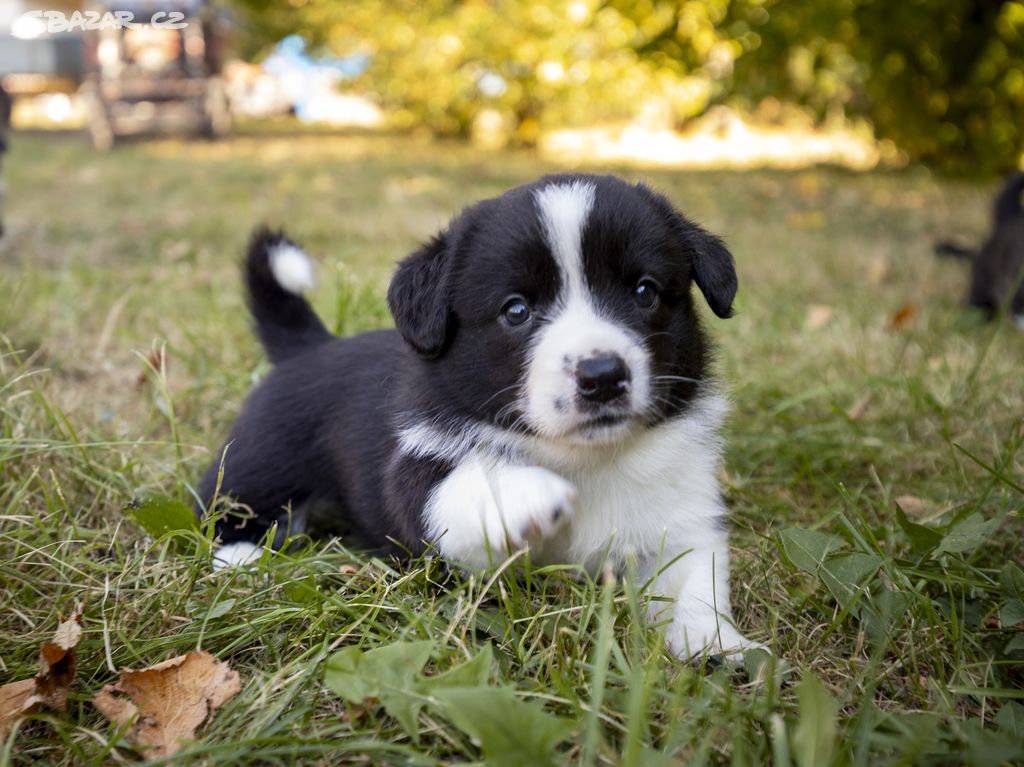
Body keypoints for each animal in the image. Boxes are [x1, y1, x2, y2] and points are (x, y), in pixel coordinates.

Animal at [197, 173, 770, 659]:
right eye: (516, 310)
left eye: (645, 291)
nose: (603, 376)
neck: (586, 458)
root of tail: (309, 345)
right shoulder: (416, 483)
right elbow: (465, 485)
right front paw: (527, 493)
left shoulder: (683, 510)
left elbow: (693, 578)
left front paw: (714, 644)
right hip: (261, 458)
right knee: (222, 502)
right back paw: (240, 557)